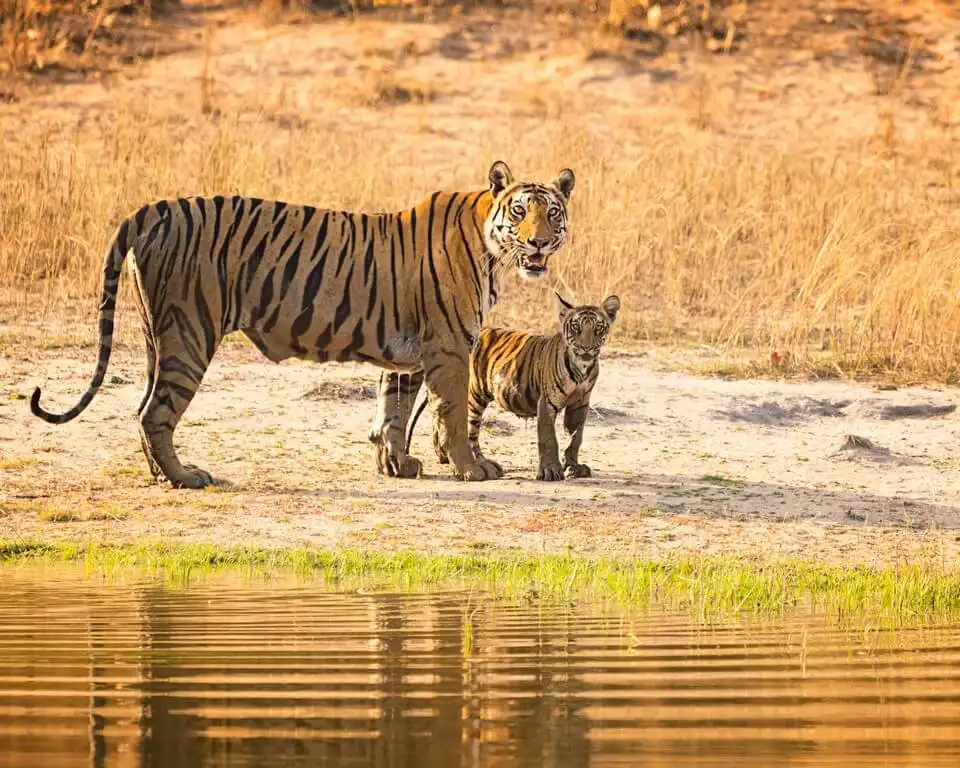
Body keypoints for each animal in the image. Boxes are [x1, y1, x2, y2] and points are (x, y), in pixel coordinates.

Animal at [30, 161, 576, 488]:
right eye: (520, 211)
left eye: (552, 213)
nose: (539, 243)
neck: (492, 249)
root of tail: (153, 209)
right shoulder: (447, 347)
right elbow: (453, 414)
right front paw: (472, 468)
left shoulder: (409, 353)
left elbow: (393, 412)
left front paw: (397, 466)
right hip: (189, 334)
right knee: (154, 413)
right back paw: (185, 477)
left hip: (154, 337)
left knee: (142, 407)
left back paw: (162, 476)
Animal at [406, 292, 620, 481]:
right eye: (576, 327)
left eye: (598, 328)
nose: (586, 348)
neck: (582, 369)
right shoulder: (547, 402)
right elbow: (549, 438)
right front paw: (551, 471)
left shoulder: (580, 403)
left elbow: (576, 437)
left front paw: (574, 467)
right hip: (472, 397)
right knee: (466, 431)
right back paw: (480, 463)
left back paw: (444, 456)